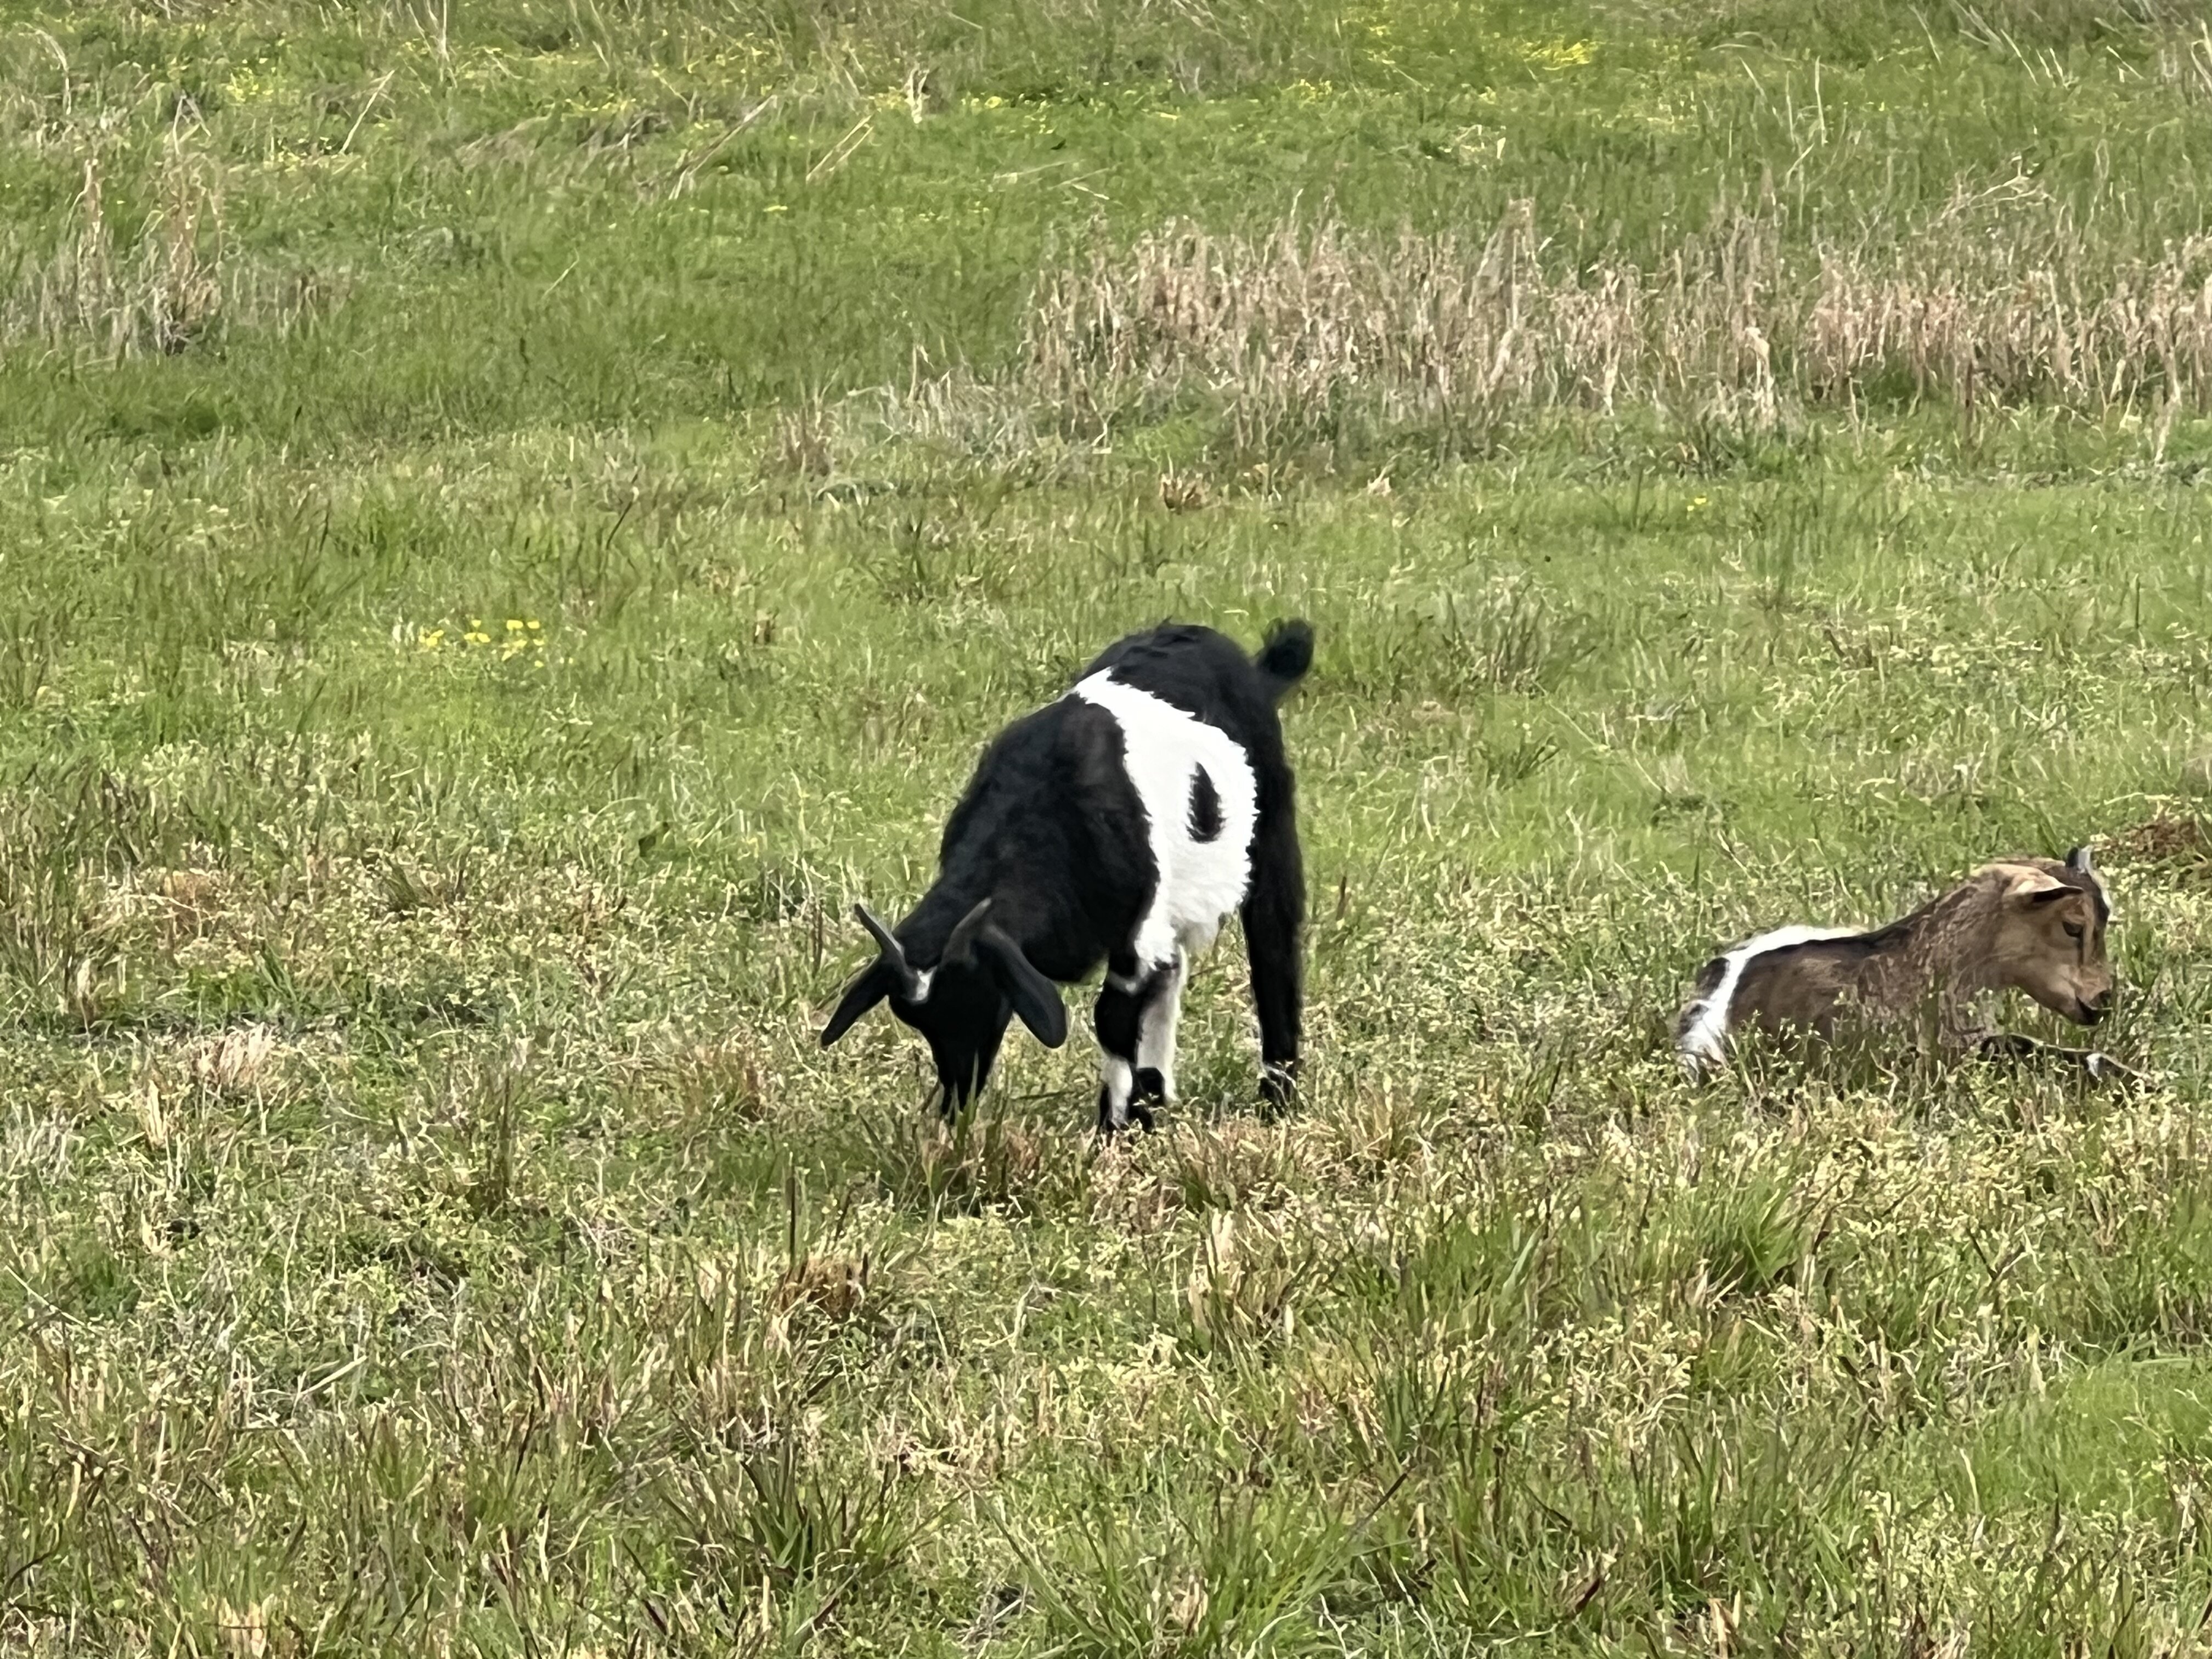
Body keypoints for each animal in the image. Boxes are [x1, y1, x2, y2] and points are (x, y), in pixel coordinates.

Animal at [821, 620, 1313, 1131]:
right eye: (921, 1024)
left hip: (1271, 832)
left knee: (1274, 949)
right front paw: (1135, 1115)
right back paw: (1158, 1096)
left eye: (983, 999)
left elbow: (1112, 1018)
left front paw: (1114, 1127)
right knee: (1171, 974)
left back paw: (1277, 1097)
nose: (959, 1101)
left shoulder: (1138, 928)